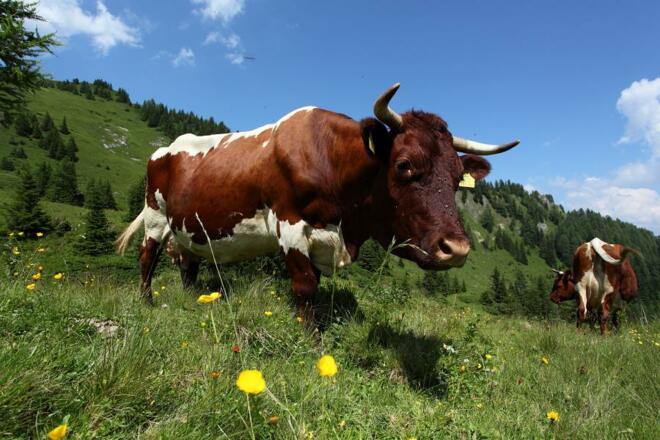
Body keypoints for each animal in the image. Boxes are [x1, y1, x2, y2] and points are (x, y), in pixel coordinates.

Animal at [116, 83, 520, 322]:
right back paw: (146, 302)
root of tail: (167, 147)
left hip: (190, 228)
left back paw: (193, 301)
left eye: (457, 175)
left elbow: (318, 288)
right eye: (404, 165)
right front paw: (308, 340)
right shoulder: (290, 225)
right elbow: (306, 286)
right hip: (155, 216)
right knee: (147, 258)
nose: (456, 249)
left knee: (189, 264)